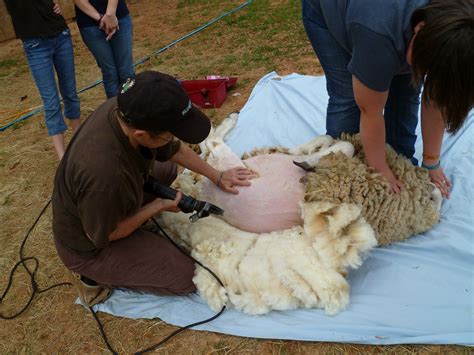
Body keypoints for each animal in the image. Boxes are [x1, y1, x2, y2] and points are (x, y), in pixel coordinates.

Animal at [161, 113, 442, 314]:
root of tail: (204, 191)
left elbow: (331, 144)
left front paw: (310, 150)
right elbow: (339, 146)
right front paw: (309, 154)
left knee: (205, 151)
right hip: (229, 167)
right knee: (210, 143)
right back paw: (228, 121)